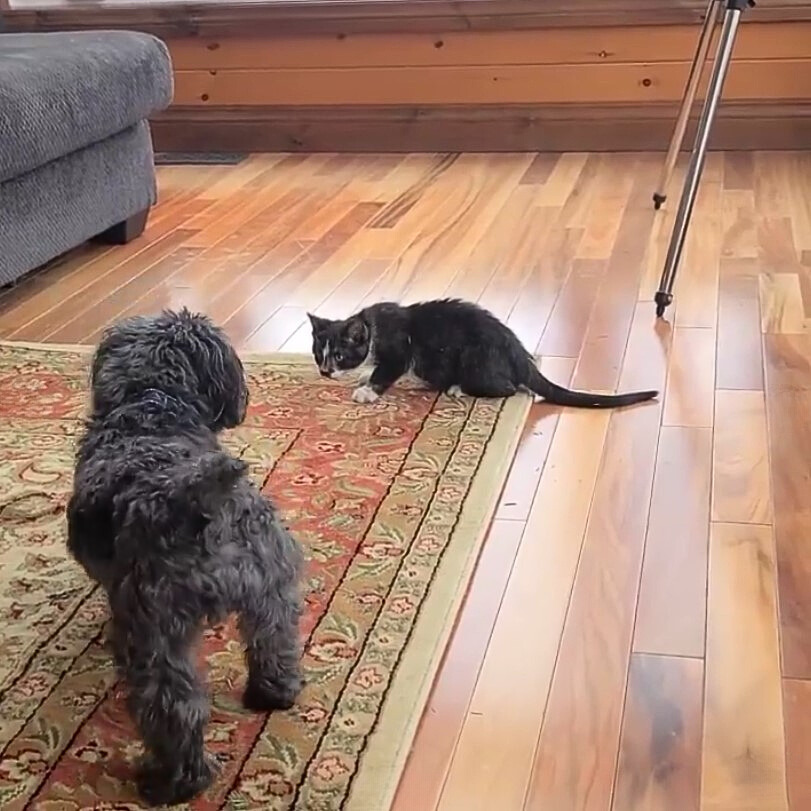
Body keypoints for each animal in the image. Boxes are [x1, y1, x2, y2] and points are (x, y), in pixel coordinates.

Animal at [67, 310, 304, 804]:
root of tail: (198, 503)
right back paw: (274, 693)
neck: (152, 406)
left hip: (154, 635)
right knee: (274, 641)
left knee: (174, 710)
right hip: (272, 584)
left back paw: (171, 782)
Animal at [308, 300, 656, 410]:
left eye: (339, 355)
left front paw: (366, 391)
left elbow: (386, 370)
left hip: (475, 359)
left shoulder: (398, 350)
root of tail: (519, 353)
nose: (325, 372)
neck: (372, 326)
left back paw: (456, 387)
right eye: (317, 355)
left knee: (509, 388)